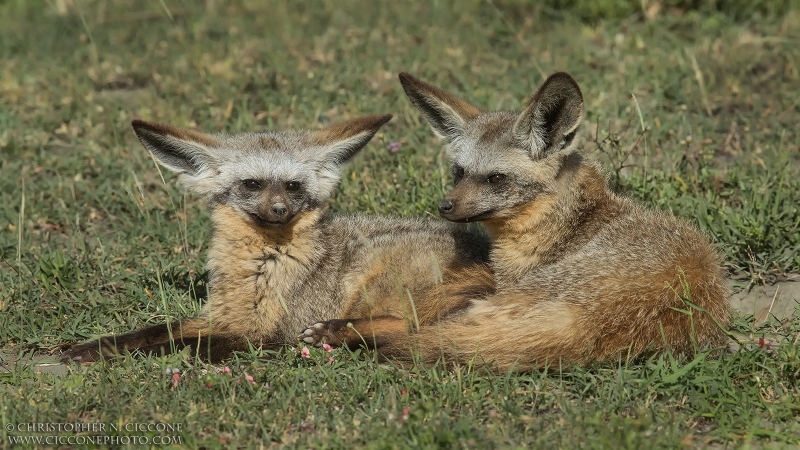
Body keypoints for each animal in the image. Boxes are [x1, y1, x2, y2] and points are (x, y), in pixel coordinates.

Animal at [61, 114, 494, 364]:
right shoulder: (222, 316)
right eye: (252, 184)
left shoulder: (264, 332)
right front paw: (95, 346)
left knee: (408, 328)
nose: (280, 210)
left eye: (292, 186)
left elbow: (181, 346)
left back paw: (334, 333)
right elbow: (155, 331)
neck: (259, 267)